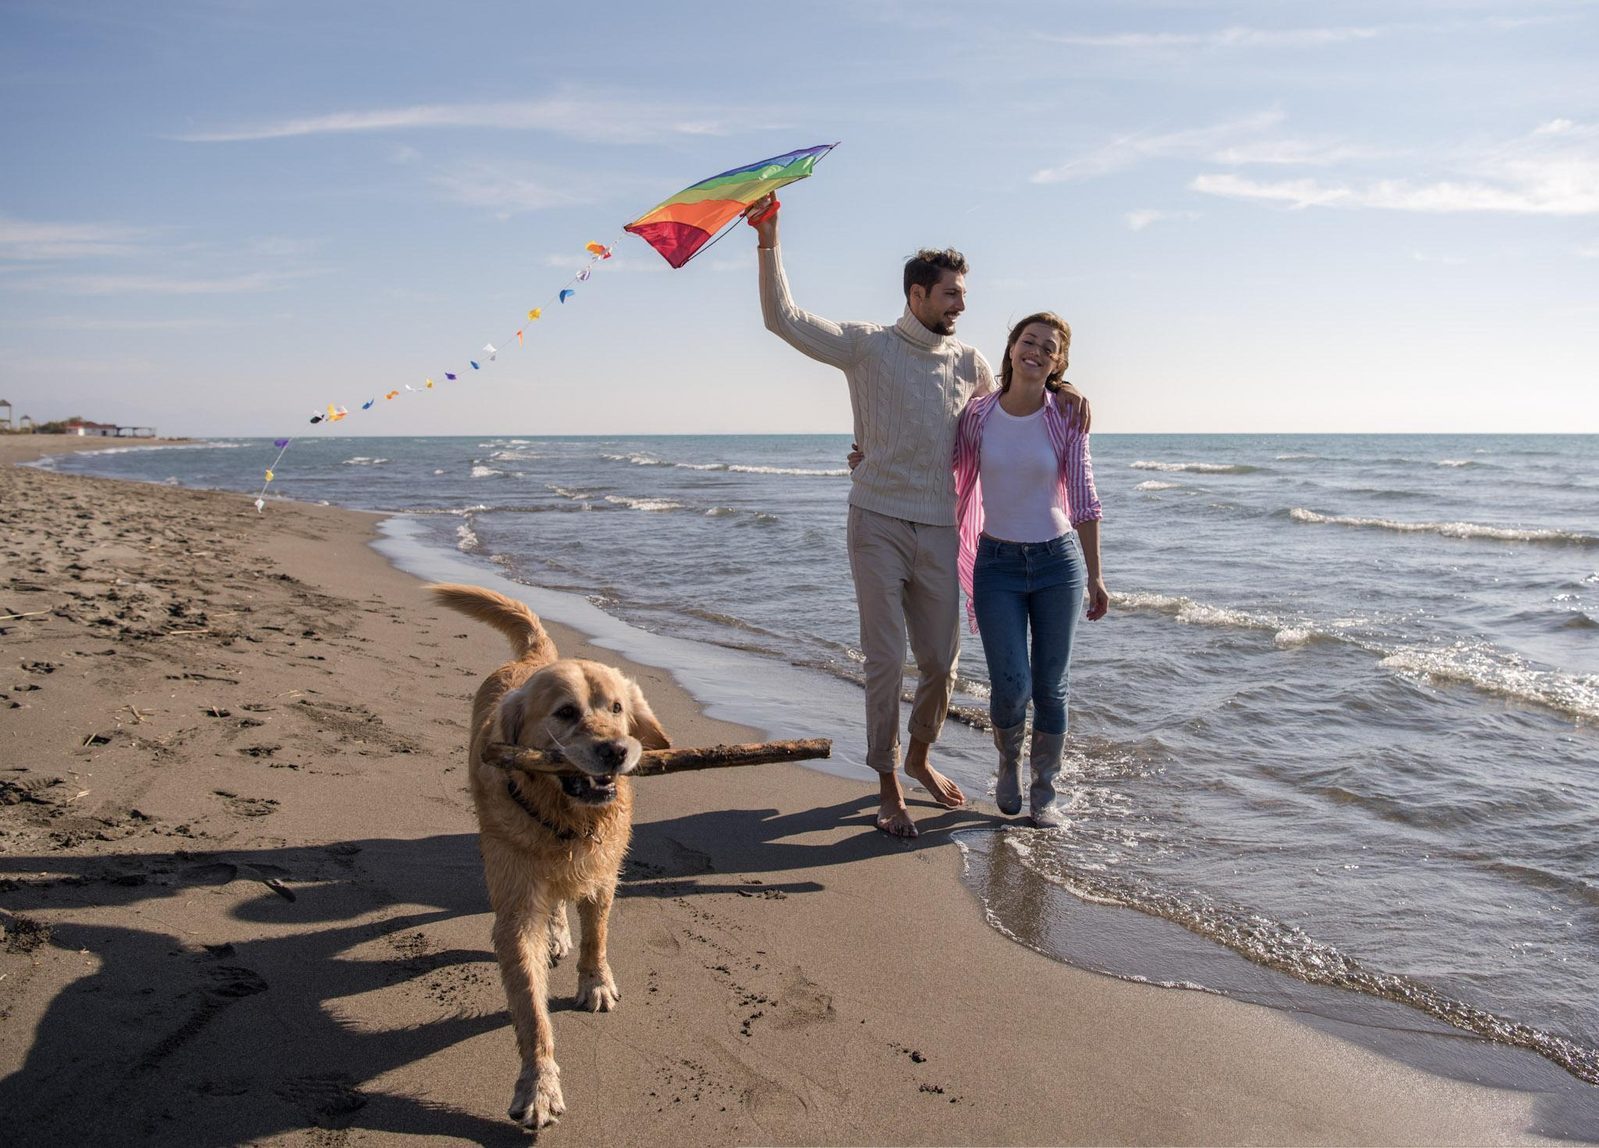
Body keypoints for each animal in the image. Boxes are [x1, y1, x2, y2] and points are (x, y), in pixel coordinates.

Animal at [425, 585, 668, 1132]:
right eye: (565, 712)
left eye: (617, 707)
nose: (617, 750)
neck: (566, 821)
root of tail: (533, 657)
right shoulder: (516, 908)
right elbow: (532, 1014)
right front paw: (538, 1086)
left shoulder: (602, 873)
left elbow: (596, 935)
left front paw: (596, 983)